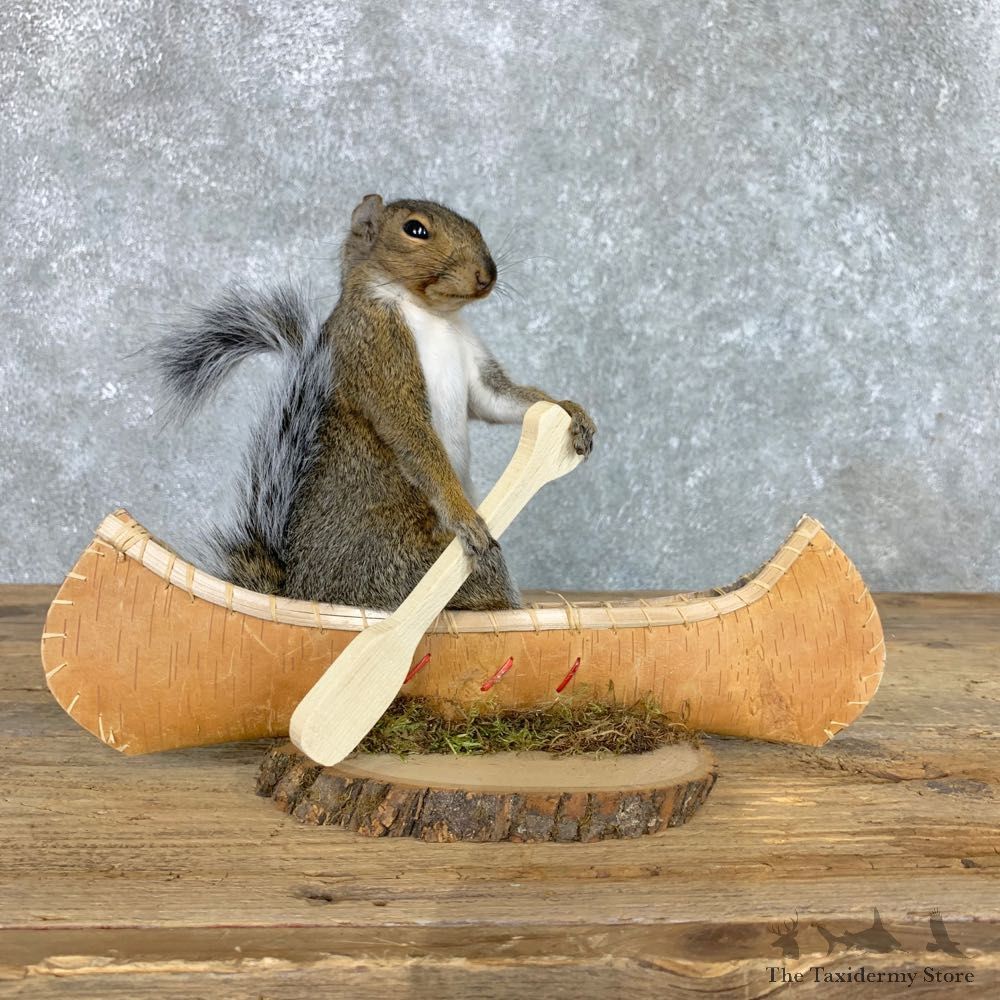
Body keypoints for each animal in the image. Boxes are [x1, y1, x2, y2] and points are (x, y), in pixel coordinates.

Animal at [153, 194, 596, 611]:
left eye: (474, 224)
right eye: (415, 230)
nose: (487, 275)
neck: (432, 315)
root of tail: (303, 592)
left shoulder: (476, 370)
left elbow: (498, 398)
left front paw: (570, 410)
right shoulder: (377, 353)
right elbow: (412, 434)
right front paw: (463, 515)